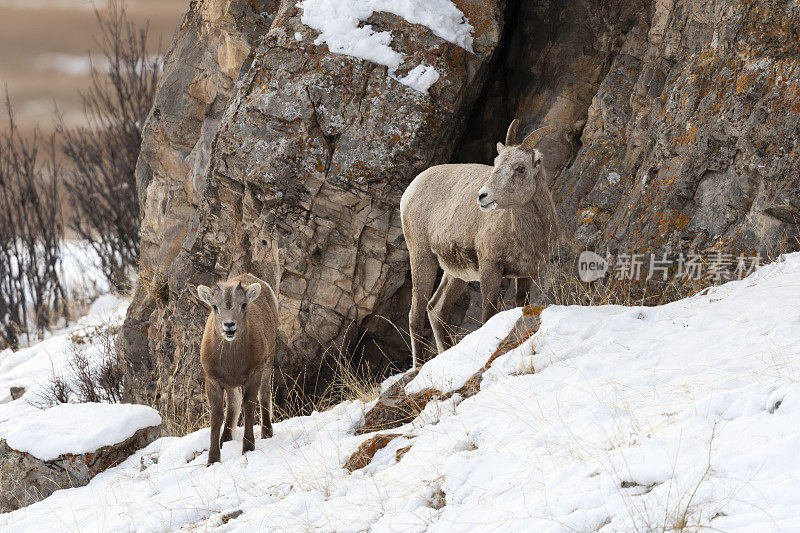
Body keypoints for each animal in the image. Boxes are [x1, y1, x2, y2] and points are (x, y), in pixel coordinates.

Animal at [196, 272, 278, 464]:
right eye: (214, 306)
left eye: (243, 304)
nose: (229, 325)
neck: (232, 363)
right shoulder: (213, 380)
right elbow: (217, 415)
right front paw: (213, 459)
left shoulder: (254, 373)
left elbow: (249, 406)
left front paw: (248, 447)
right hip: (232, 385)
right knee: (234, 403)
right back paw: (225, 440)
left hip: (268, 362)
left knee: (264, 394)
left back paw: (267, 432)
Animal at [400, 118, 564, 368]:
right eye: (496, 163)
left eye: (520, 168)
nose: (483, 196)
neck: (524, 234)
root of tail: (410, 190)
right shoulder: (490, 267)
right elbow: (488, 315)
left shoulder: (527, 274)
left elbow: (520, 306)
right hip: (421, 257)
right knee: (416, 313)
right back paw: (418, 366)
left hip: (456, 274)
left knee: (436, 309)